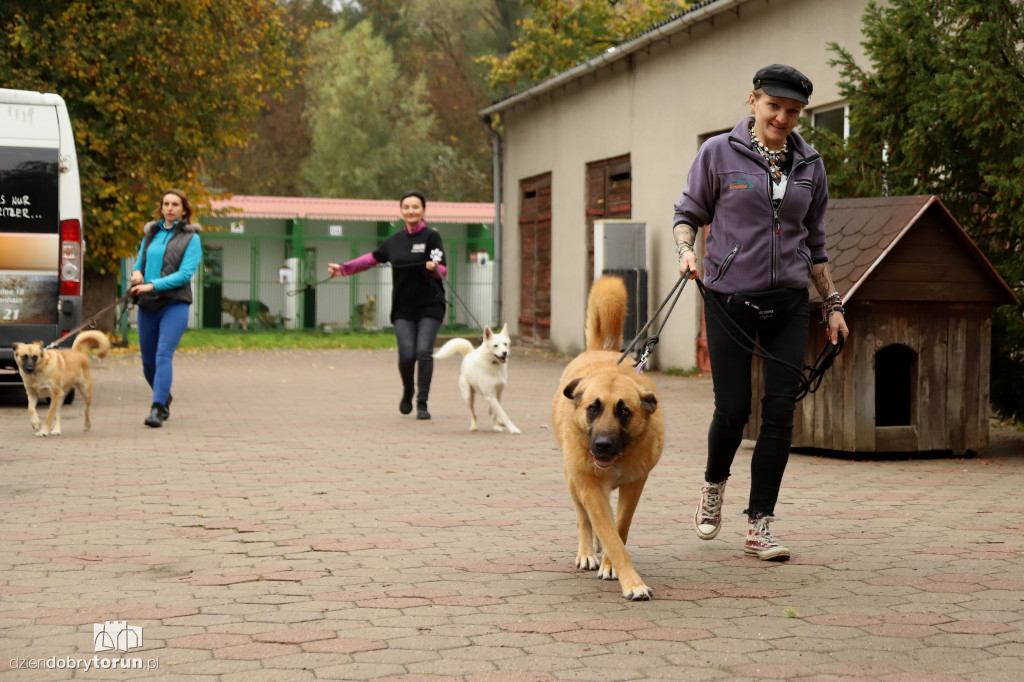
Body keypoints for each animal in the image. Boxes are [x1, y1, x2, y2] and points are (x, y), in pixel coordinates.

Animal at [552, 274, 663, 598]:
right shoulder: (590, 488)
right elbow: (608, 532)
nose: (602, 445)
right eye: (592, 408)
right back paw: (588, 552)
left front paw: (612, 565)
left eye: (624, 411)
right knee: (583, 518)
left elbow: (620, 528)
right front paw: (632, 582)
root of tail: (601, 349)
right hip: (573, 481)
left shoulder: (635, 484)